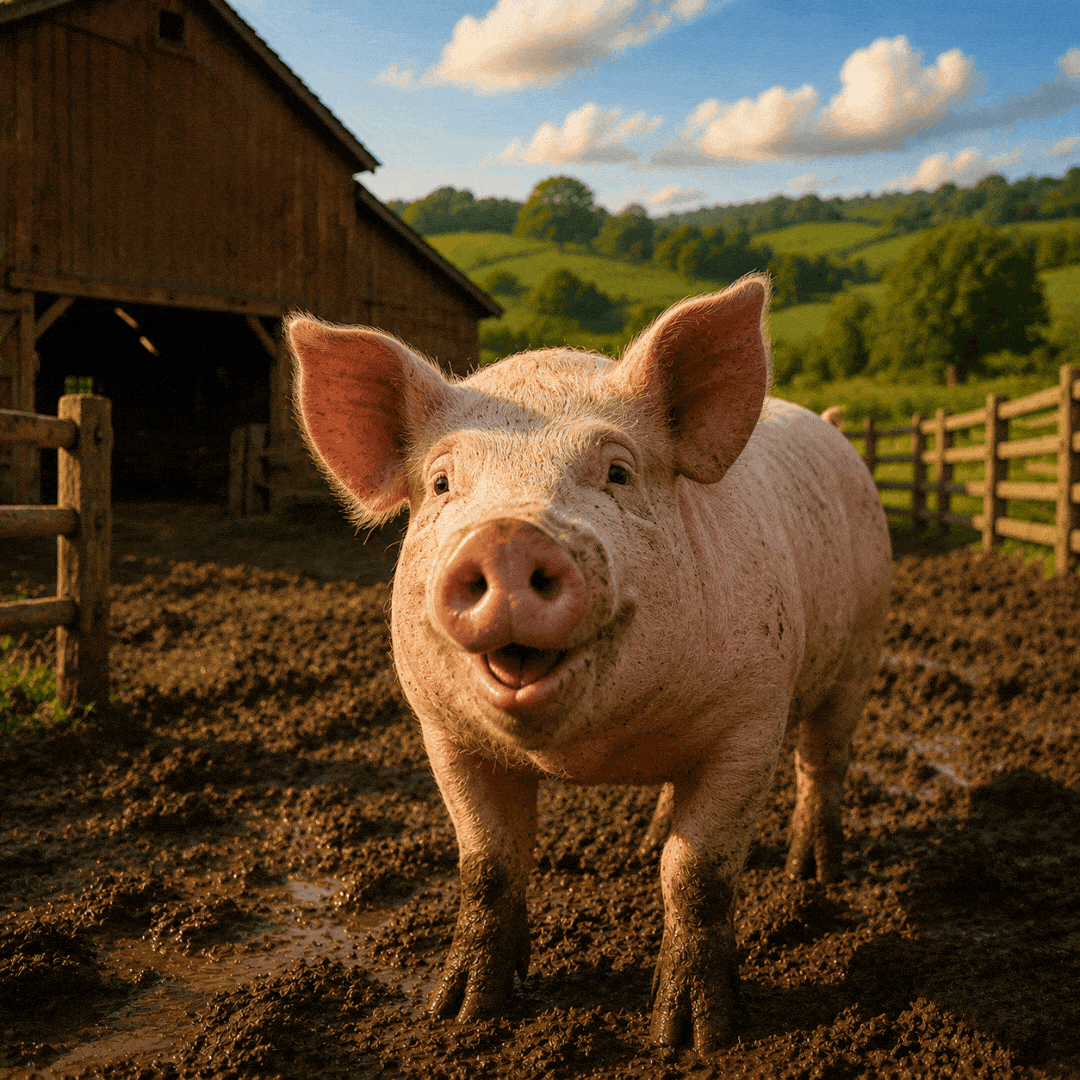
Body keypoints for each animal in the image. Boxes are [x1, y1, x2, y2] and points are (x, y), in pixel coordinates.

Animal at [286, 273, 891, 1052]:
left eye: (618, 472)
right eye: (443, 483)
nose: (508, 537)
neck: (594, 755)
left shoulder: (750, 718)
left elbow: (696, 872)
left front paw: (690, 1038)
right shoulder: (443, 731)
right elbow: (488, 862)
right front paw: (458, 1013)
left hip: (860, 651)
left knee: (823, 759)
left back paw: (809, 875)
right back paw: (649, 838)